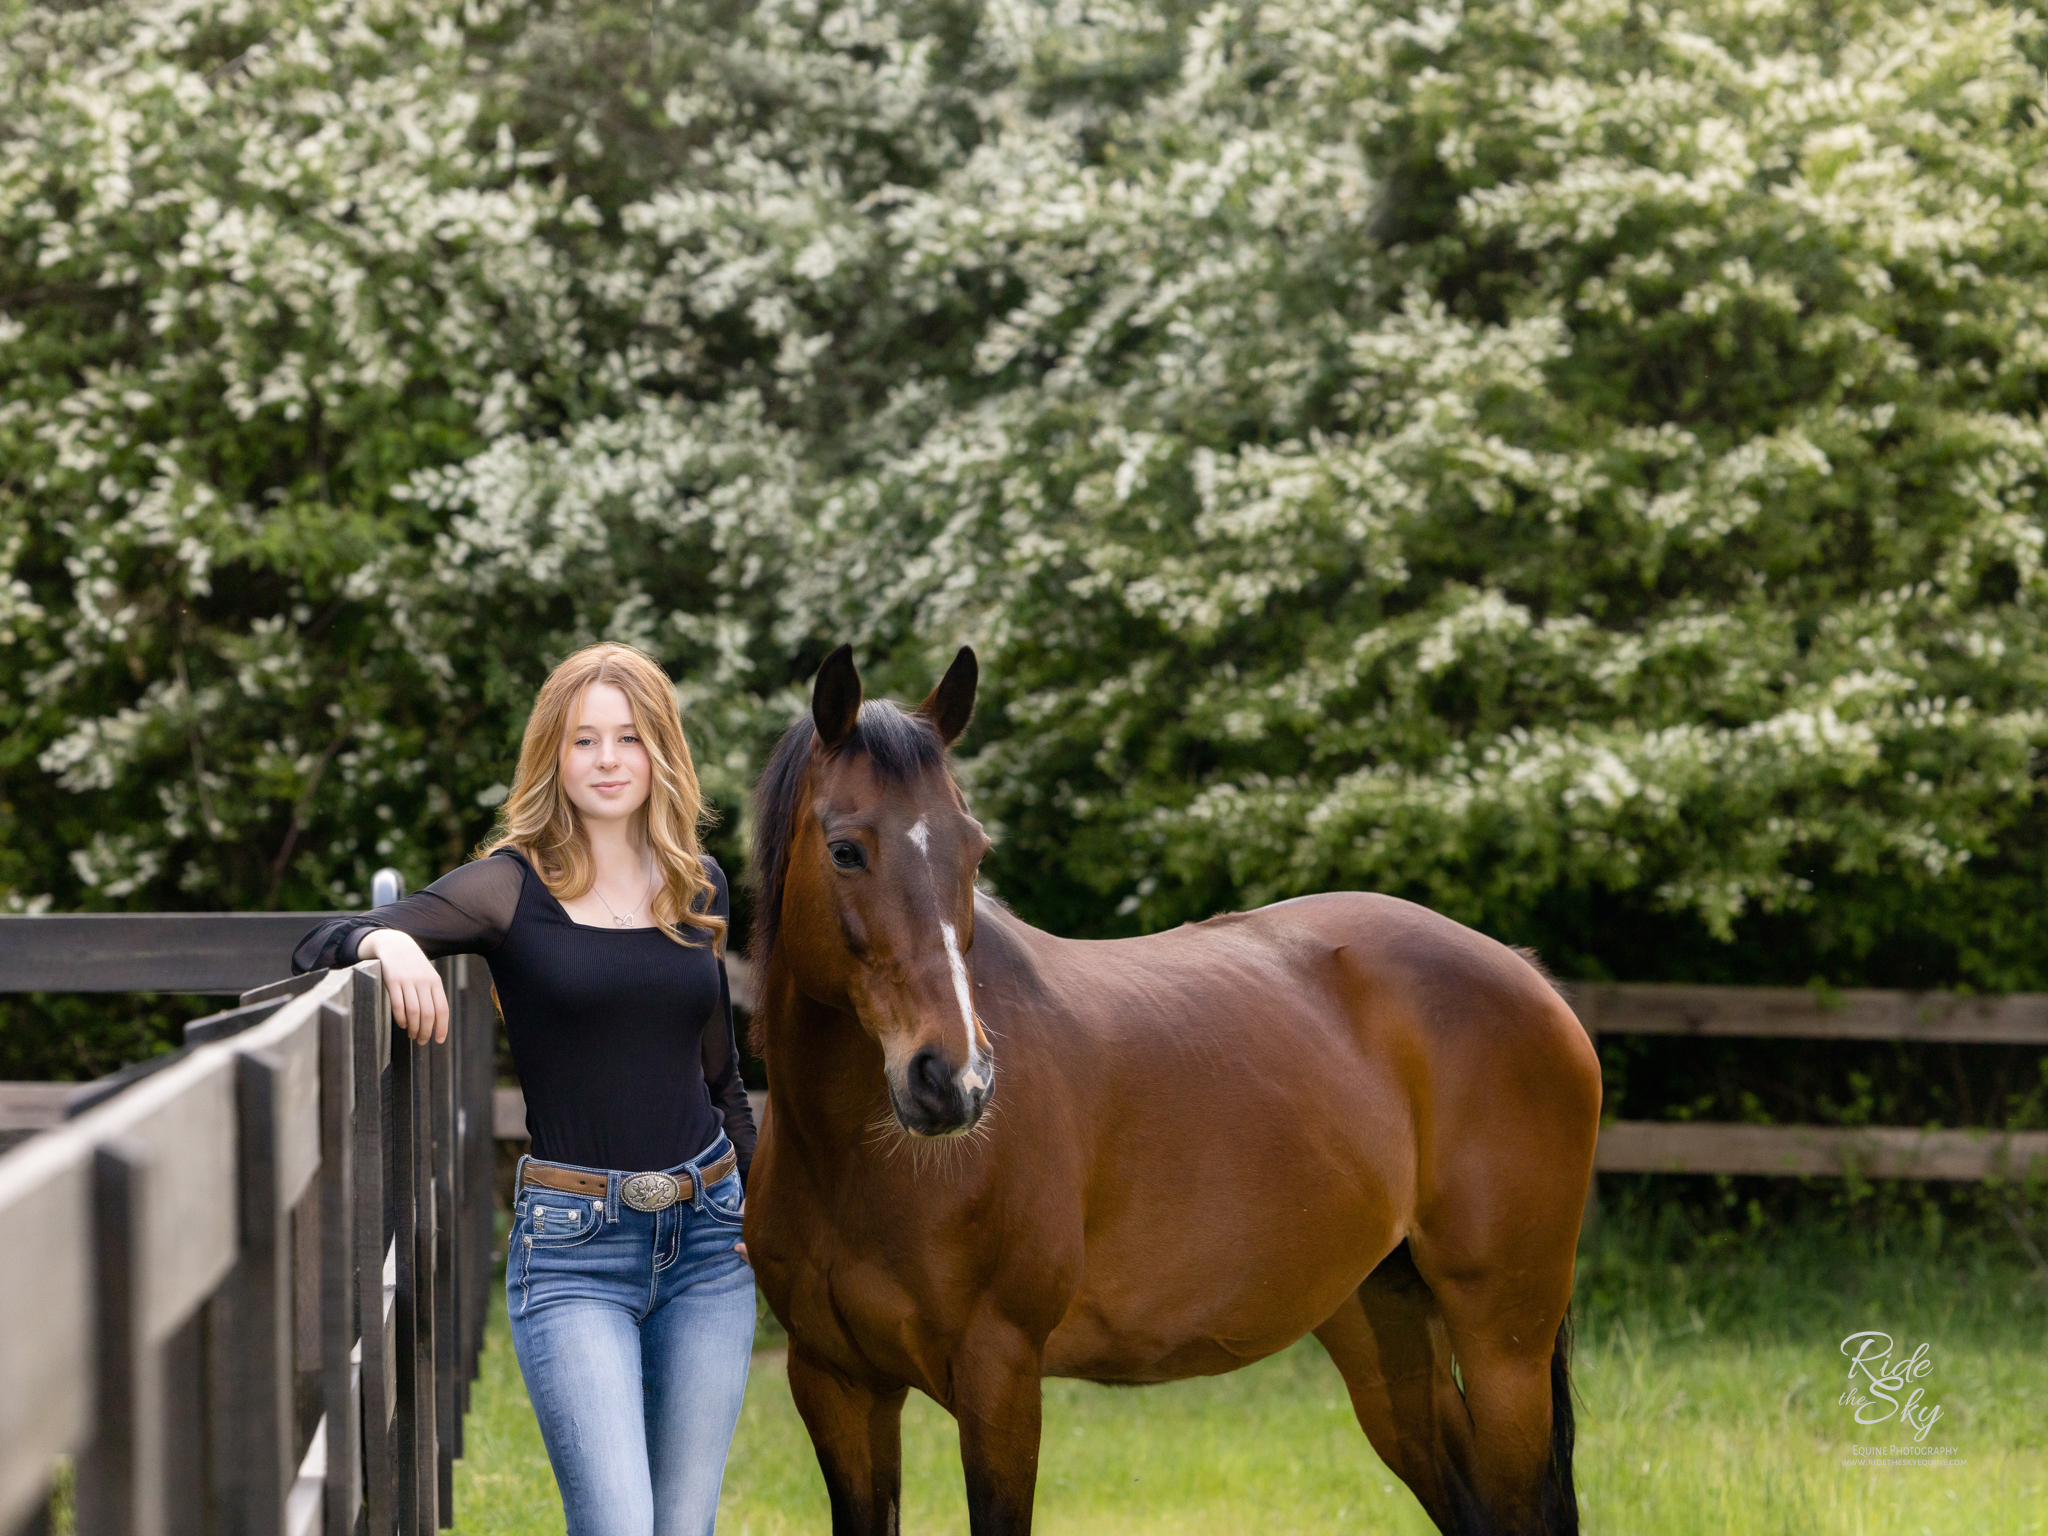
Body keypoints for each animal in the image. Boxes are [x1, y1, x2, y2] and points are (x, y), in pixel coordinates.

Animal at [745, 647, 1605, 1536]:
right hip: (1387, 1331)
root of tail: (1528, 977)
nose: (956, 1081)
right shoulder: (836, 1386)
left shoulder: (999, 1377)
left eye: (974, 851)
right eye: (845, 850)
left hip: (1504, 1342)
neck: (857, 1165)